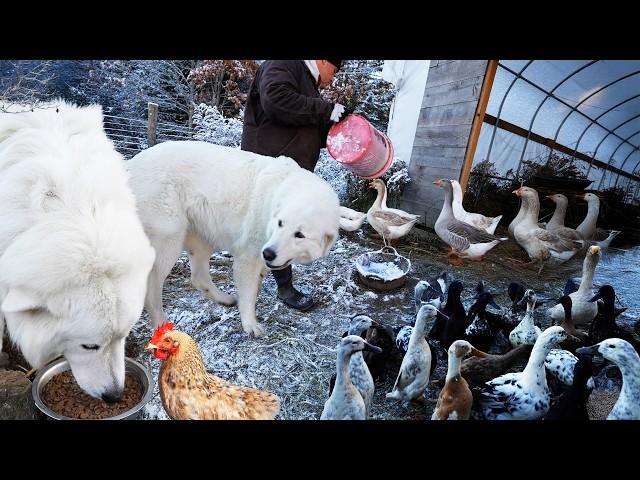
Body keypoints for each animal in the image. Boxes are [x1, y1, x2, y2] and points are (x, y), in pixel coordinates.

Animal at [127, 142, 342, 338]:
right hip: (169, 241)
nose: (268, 253)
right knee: (151, 290)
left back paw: (224, 299)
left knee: (198, 277)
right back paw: (163, 329)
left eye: (299, 235)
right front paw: (250, 324)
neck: (277, 195)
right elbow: (248, 294)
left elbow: (254, 289)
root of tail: (131, 164)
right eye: (280, 223)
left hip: (203, 236)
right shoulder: (248, 257)